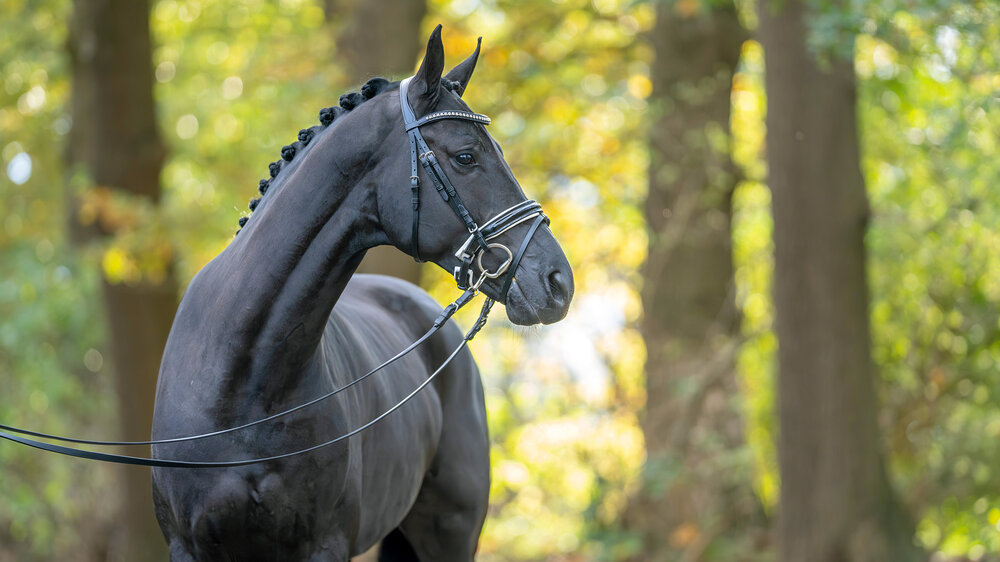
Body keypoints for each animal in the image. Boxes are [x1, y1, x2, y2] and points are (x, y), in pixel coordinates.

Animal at [150, 25, 574, 561]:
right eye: (466, 156)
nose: (559, 282)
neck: (241, 381)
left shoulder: (325, 544)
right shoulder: (189, 546)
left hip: (451, 532)